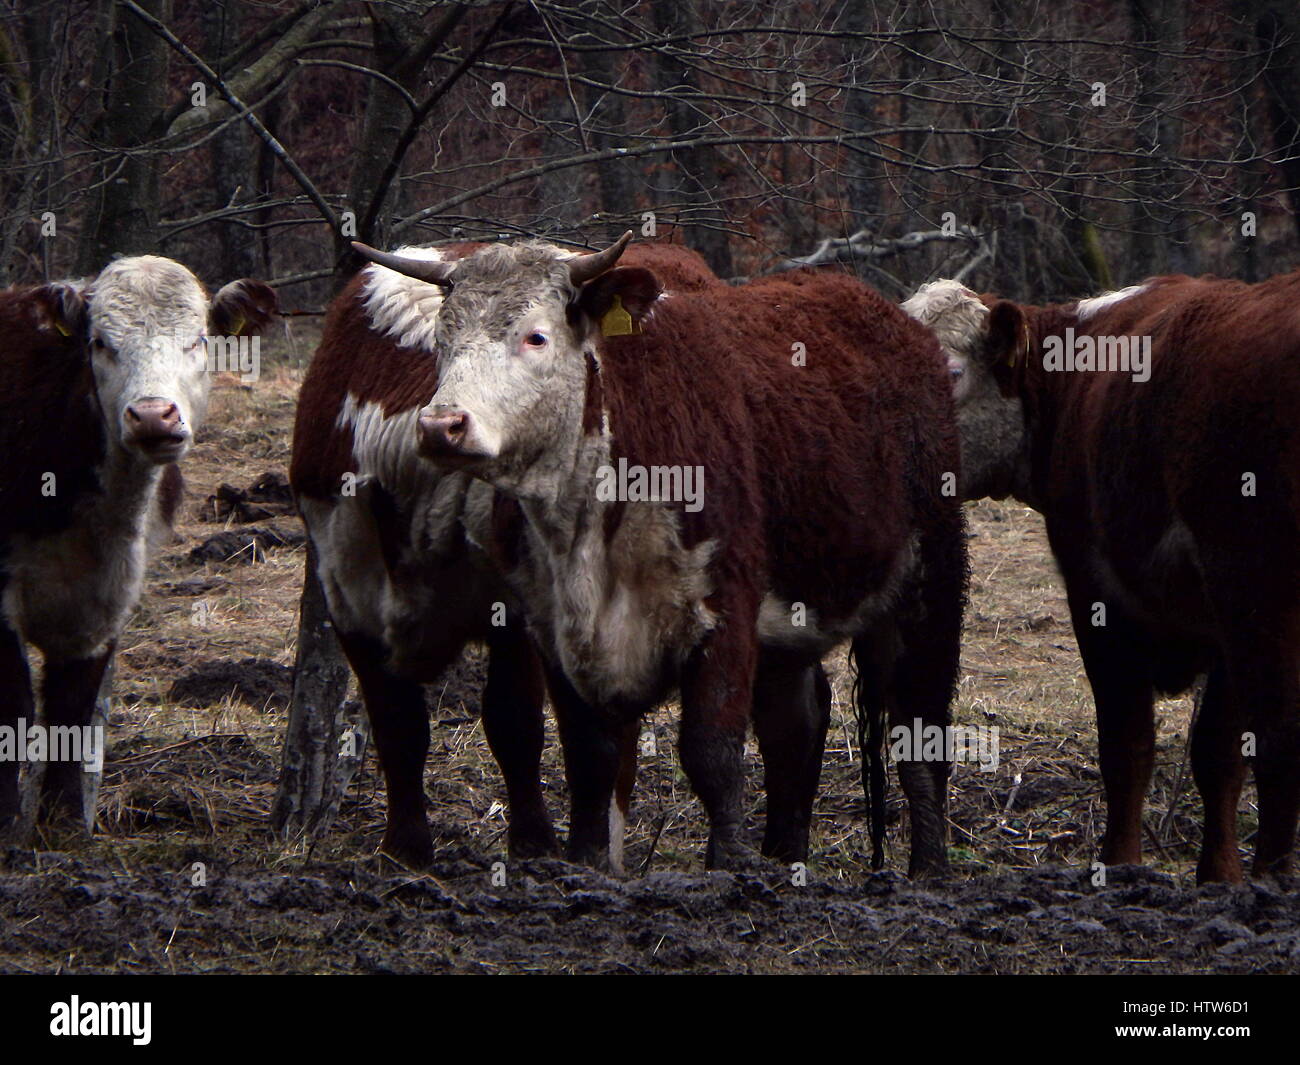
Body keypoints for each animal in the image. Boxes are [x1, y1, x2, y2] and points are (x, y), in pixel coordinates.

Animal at [0, 256, 277, 839]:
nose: (153, 416)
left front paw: (65, 826)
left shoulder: (108, 595)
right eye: (100, 343)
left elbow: (74, 708)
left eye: (198, 339)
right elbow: (13, 703)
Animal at [349, 232, 968, 875]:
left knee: (919, 728)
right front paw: (588, 864)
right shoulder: (553, 624)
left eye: (535, 336)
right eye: (443, 339)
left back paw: (927, 870)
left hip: (930, 578)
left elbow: (712, 753)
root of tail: (893, 318)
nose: (441, 426)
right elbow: (590, 754)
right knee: (794, 724)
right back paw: (784, 857)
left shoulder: (726, 605)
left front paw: (727, 868)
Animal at [903, 274, 1300, 882]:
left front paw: (1121, 866)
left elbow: (1129, 746)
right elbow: (1218, 757)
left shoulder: (1102, 592)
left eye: (950, 372)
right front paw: (1219, 876)